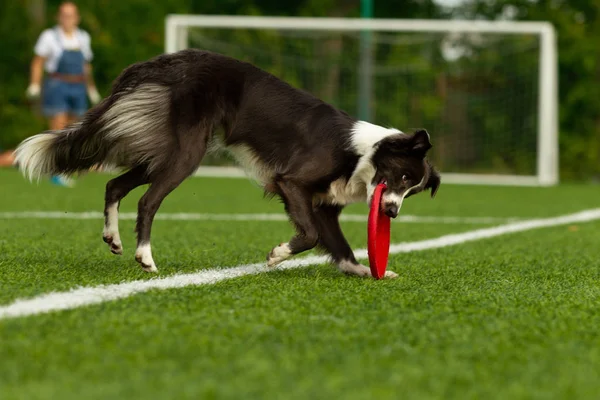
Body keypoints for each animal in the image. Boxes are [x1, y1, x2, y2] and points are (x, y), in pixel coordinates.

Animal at [15, 49, 440, 278]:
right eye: (401, 176)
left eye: (413, 191)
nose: (392, 212)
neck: (362, 154)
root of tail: (160, 63)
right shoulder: (291, 182)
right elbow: (309, 235)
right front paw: (277, 255)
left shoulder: (324, 206)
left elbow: (340, 246)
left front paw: (366, 271)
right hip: (187, 153)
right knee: (147, 200)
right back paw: (145, 256)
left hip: (165, 149)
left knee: (114, 185)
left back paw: (114, 239)